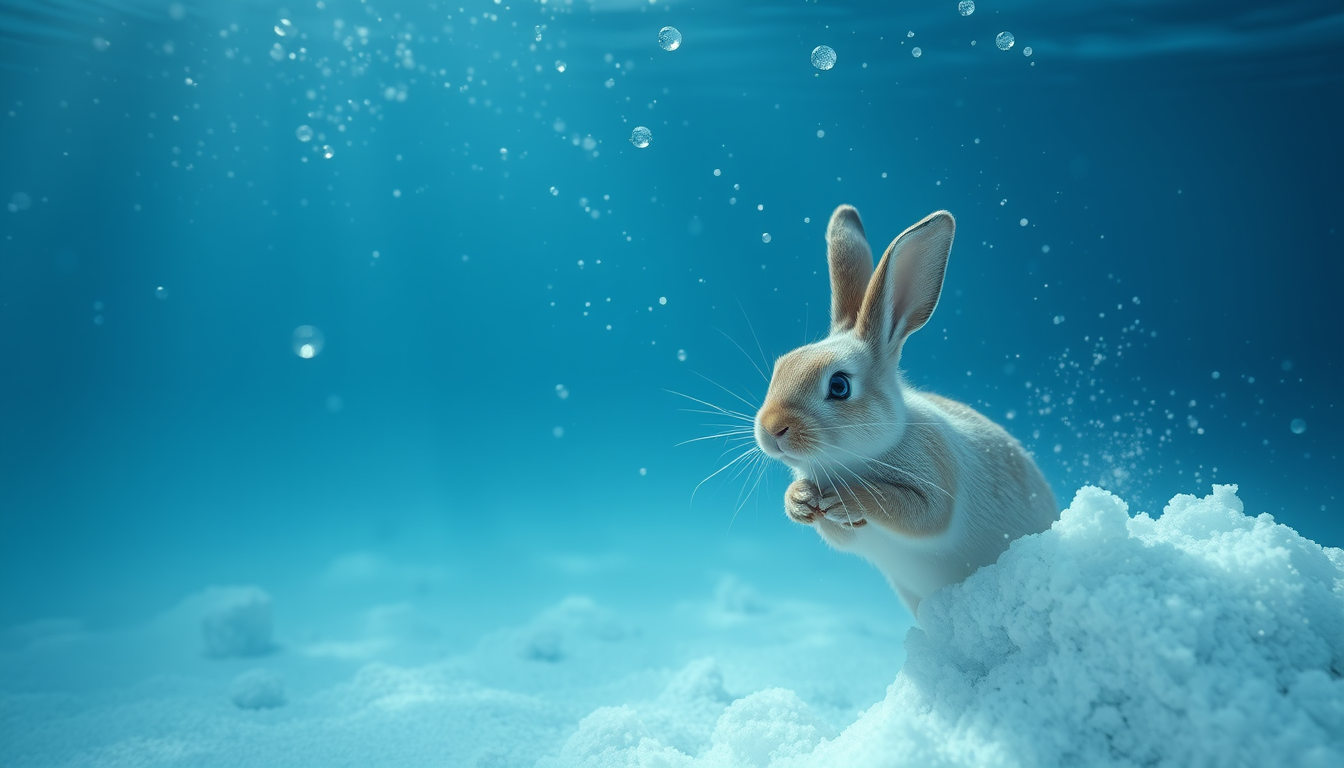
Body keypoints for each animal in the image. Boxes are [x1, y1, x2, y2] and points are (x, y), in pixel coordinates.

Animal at [753, 205, 1058, 614]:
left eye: (839, 386)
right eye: (780, 368)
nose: (772, 430)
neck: (847, 462)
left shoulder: (936, 478)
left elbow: (914, 512)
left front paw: (845, 500)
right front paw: (799, 500)